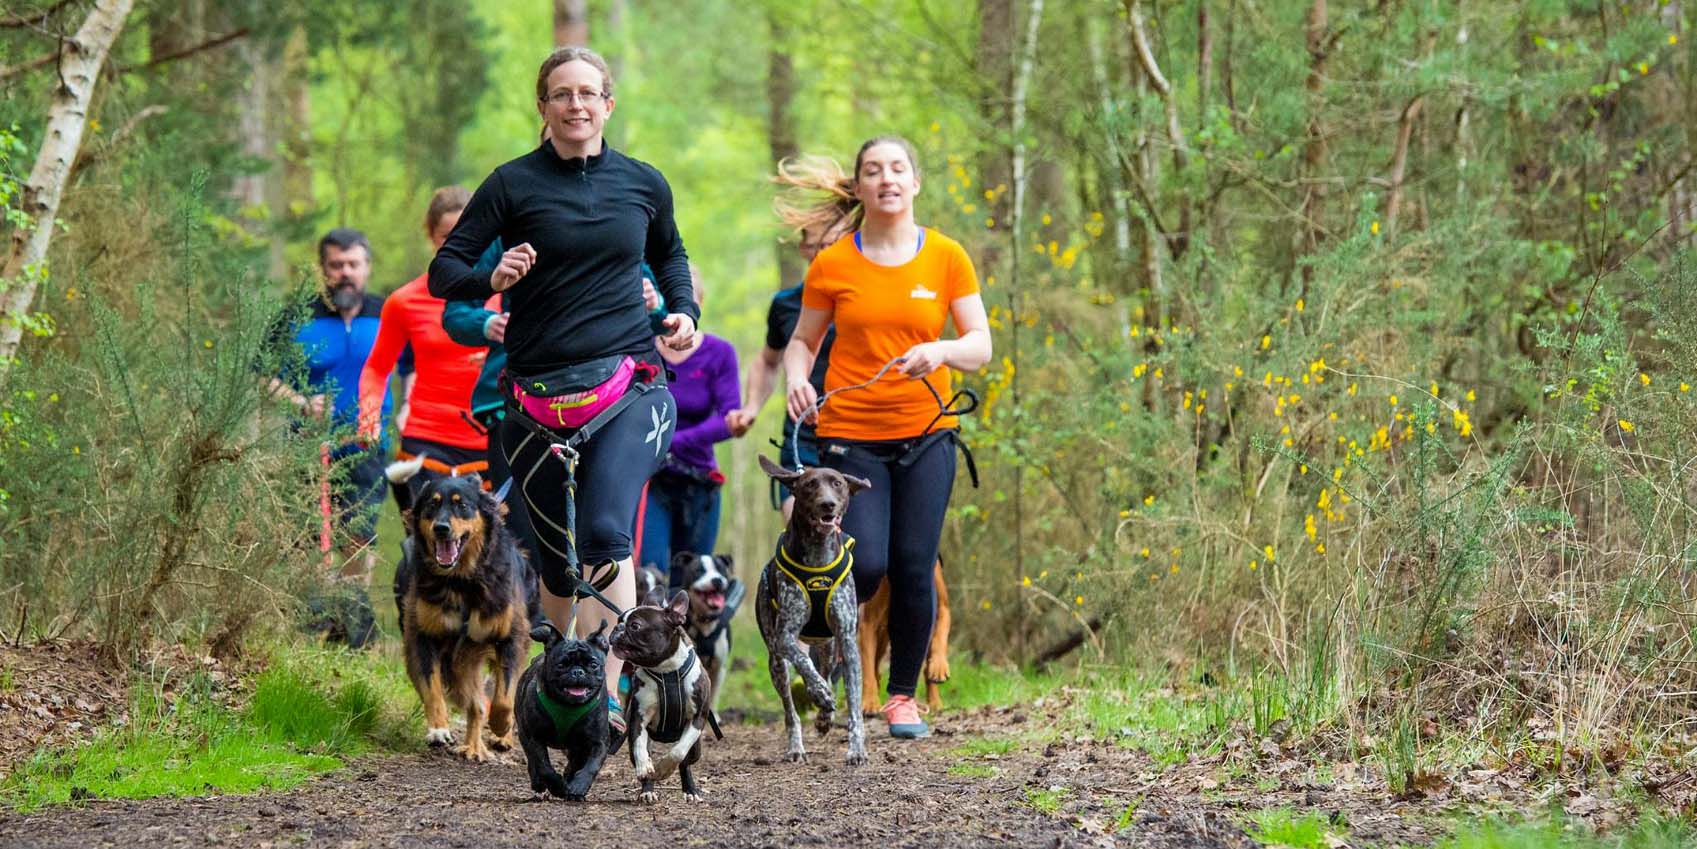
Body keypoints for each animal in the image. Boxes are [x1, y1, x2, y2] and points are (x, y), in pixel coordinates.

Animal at [395, 475, 532, 760]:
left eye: (463, 505)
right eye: (432, 505)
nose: (441, 528)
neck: (461, 580)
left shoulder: (512, 636)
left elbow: (504, 696)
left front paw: (501, 726)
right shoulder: (422, 636)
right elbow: (432, 688)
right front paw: (438, 728)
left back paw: (494, 740)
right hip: (460, 661)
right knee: (475, 704)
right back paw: (472, 747)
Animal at [855, 556, 950, 716]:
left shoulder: (941, 608)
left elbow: (941, 634)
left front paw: (939, 667)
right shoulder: (868, 624)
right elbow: (868, 670)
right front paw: (870, 703)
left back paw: (934, 701)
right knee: (873, 669)